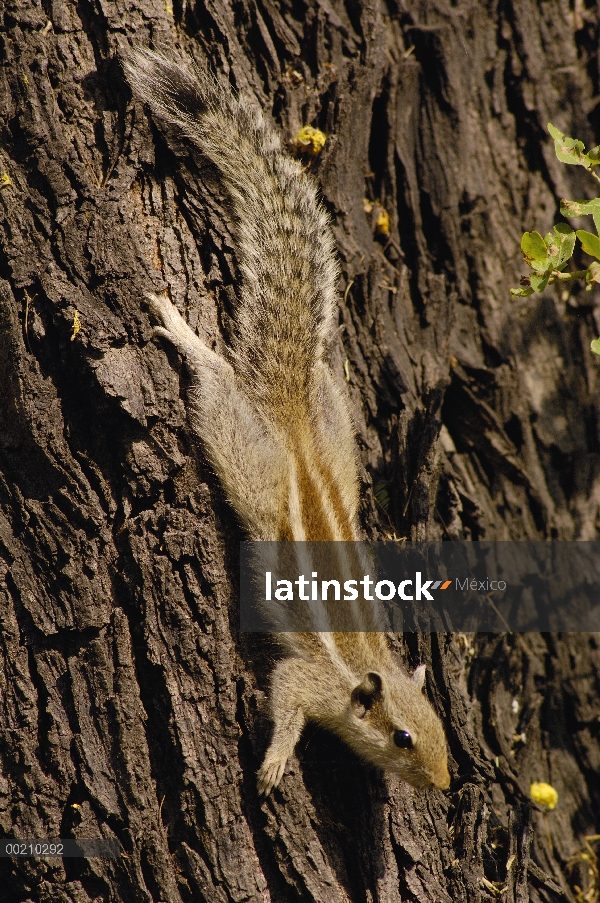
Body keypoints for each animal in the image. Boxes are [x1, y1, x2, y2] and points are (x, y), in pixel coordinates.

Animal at [123, 49, 450, 796]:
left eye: (442, 732)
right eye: (403, 736)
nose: (444, 784)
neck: (364, 670)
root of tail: (297, 427)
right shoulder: (308, 678)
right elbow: (287, 702)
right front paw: (276, 761)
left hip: (336, 431)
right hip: (244, 451)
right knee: (216, 382)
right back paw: (185, 335)